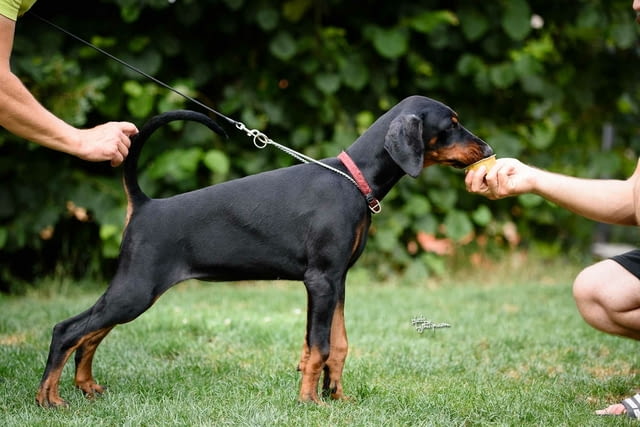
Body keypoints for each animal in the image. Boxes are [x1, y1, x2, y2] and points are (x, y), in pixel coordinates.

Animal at [36, 96, 496, 408]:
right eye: (452, 124)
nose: (489, 150)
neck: (353, 179)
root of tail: (146, 205)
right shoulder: (321, 279)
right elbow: (319, 346)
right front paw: (309, 402)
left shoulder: (338, 280)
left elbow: (338, 345)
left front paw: (337, 398)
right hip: (136, 287)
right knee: (68, 329)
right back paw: (49, 398)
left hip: (134, 289)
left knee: (91, 333)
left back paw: (86, 387)